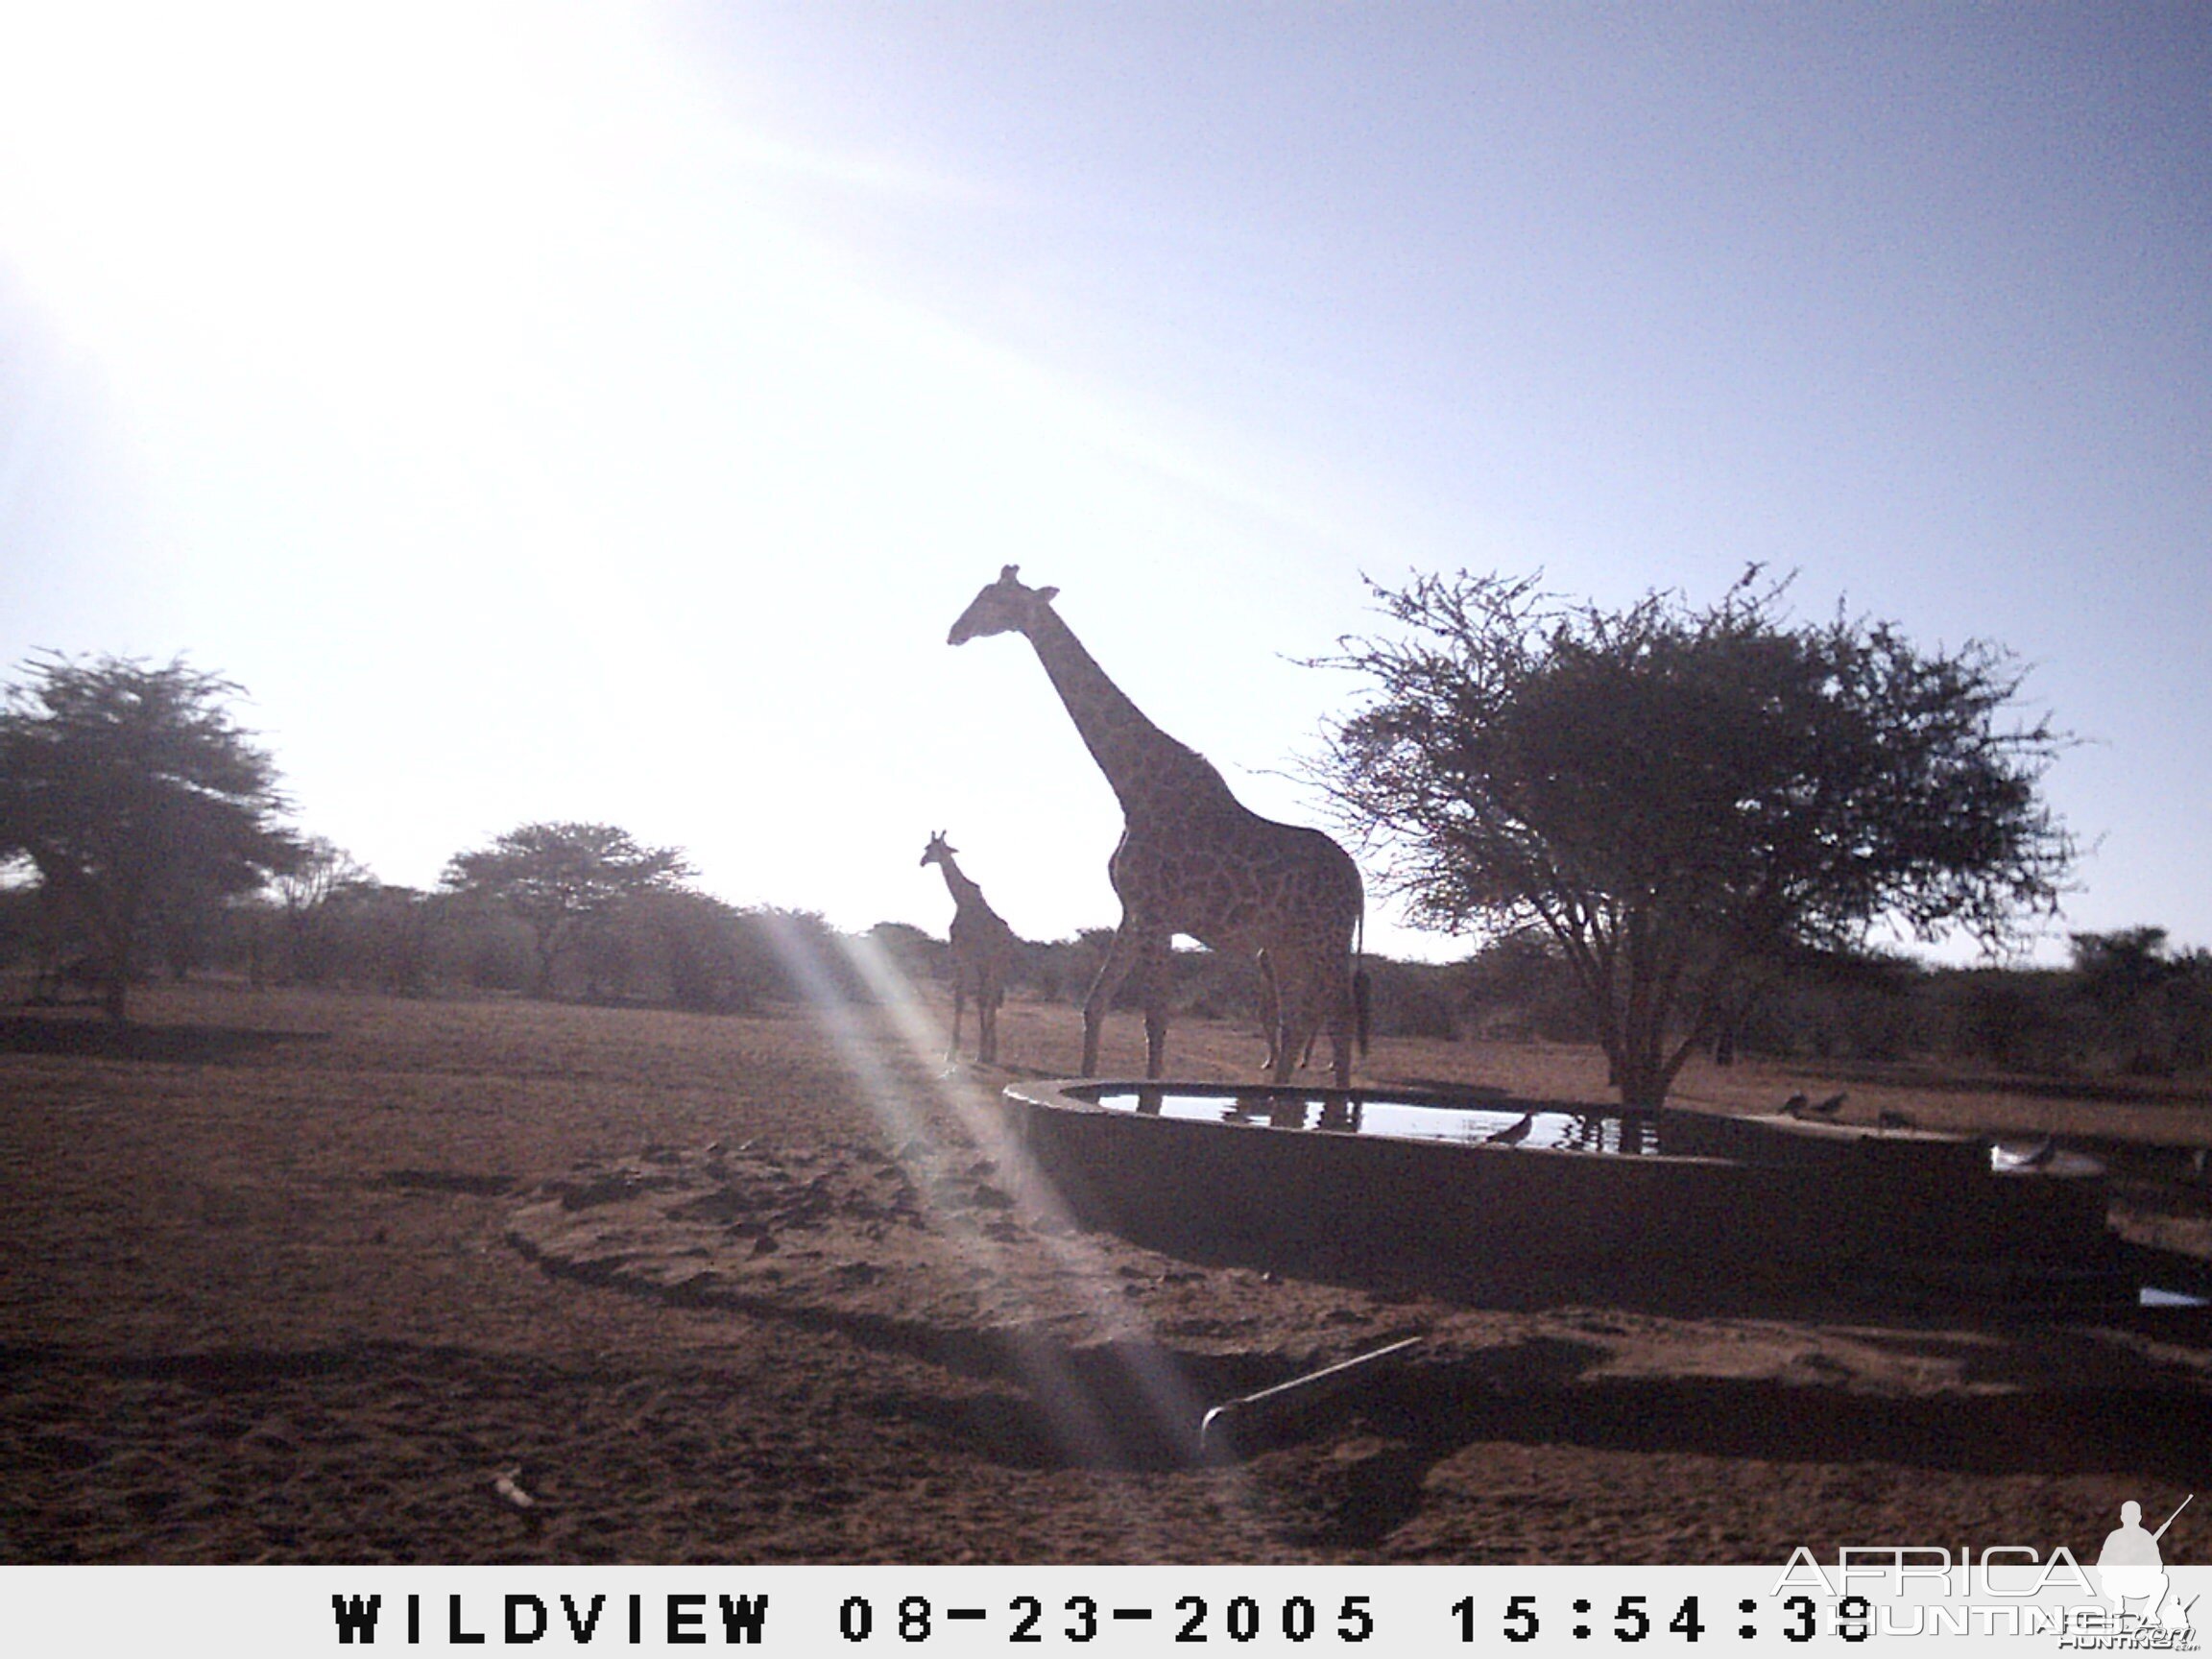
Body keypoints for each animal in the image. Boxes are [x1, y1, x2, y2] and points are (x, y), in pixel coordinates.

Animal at [915, 835, 1017, 1070]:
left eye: (937, 848)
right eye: (927, 846)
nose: (922, 861)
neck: (962, 902)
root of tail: (1010, 937)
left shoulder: (974, 957)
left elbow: (973, 998)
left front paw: (976, 1052)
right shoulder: (960, 956)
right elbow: (960, 998)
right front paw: (951, 1052)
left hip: (997, 965)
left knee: (990, 999)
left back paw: (990, 1052)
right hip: (985, 967)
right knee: (985, 998)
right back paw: (989, 1051)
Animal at [950, 570, 1362, 1093]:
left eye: (994, 599)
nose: (955, 631)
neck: (1133, 789)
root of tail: (1357, 880)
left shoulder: (1157, 915)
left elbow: (1156, 1020)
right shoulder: (1133, 912)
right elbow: (1096, 1004)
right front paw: (1085, 1084)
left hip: (1327, 940)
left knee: (1339, 1022)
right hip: (1287, 945)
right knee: (1296, 1024)